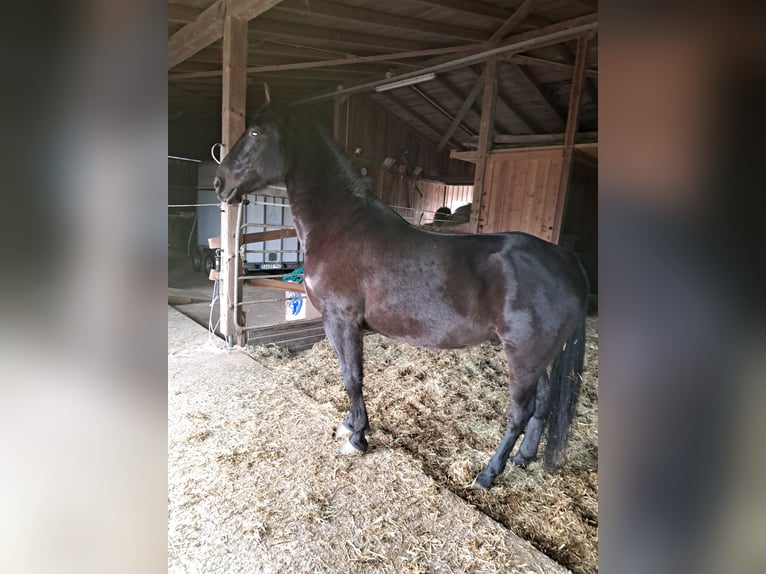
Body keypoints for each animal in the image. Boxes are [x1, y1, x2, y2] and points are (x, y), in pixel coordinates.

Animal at [216, 101, 592, 488]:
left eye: (256, 133)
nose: (220, 183)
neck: (340, 226)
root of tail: (566, 259)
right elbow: (349, 375)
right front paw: (349, 426)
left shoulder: (341, 322)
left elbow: (352, 378)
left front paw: (357, 438)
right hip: (537, 358)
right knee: (542, 403)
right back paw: (523, 458)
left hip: (523, 356)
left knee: (520, 412)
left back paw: (488, 474)